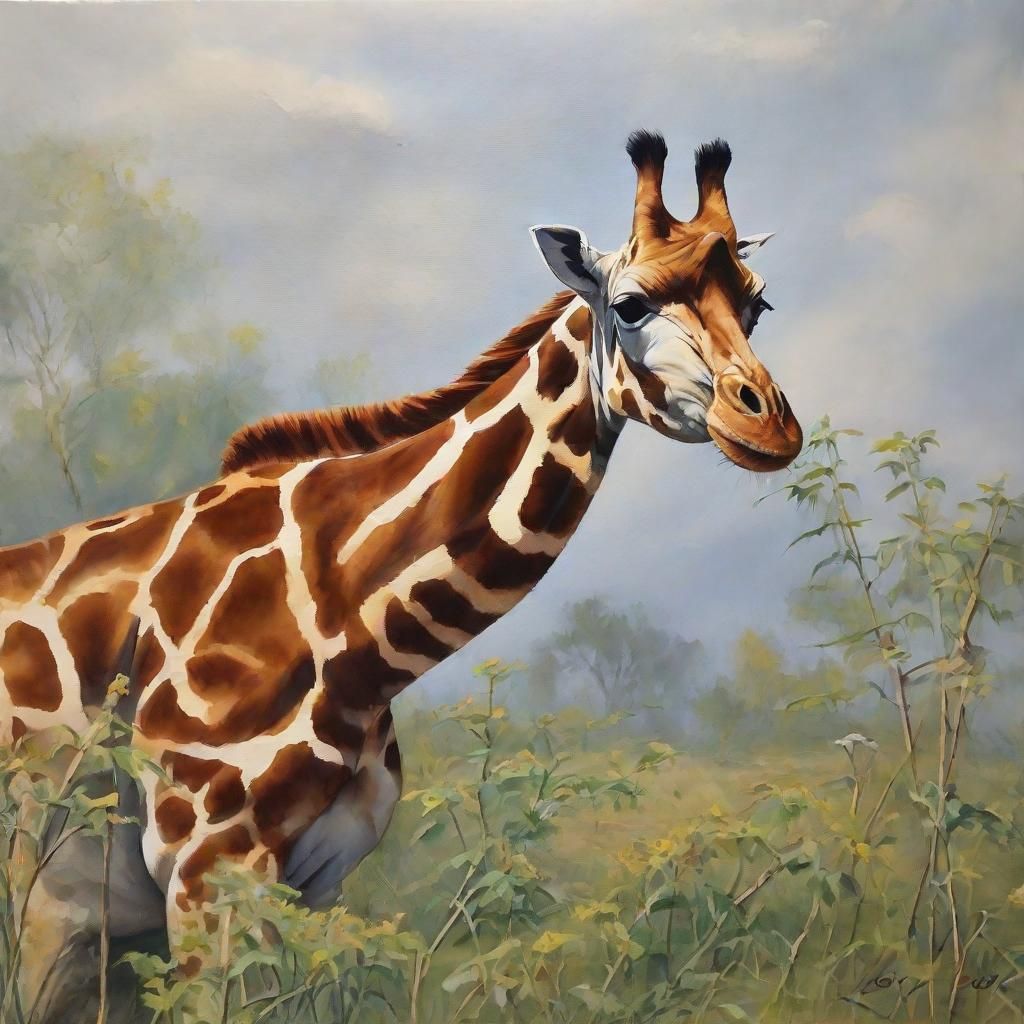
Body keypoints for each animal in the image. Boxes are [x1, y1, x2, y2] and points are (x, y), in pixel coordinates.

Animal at [0, 132, 801, 992]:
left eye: (757, 305)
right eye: (630, 304)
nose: (770, 428)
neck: (358, 649)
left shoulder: (301, 884)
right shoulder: (193, 872)